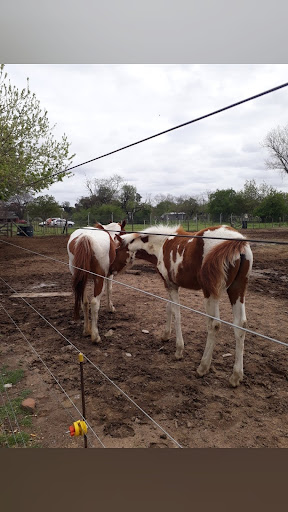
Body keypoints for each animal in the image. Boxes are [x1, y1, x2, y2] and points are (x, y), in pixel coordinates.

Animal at [113, 225, 253, 388]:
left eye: (116, 250)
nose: (111, 270)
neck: (162, 244)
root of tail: (236, 241)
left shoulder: (171, 285)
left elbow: (176, 313)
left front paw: (179, 350)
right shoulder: (169, 284)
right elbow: (168, 308)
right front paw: (165, 335)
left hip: (211, 292)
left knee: (214, 325)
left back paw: (203, 367)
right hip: (237, 289)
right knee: (240, 325)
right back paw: (236, 376)